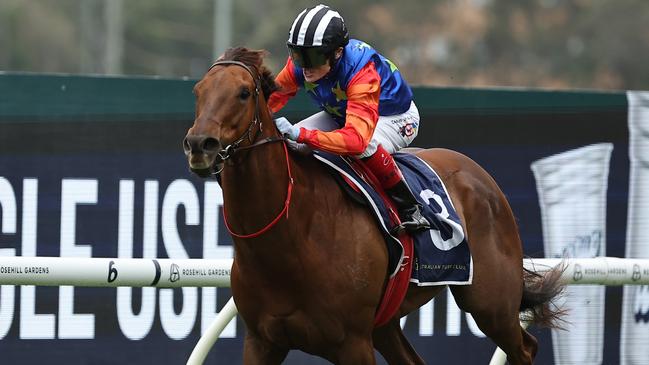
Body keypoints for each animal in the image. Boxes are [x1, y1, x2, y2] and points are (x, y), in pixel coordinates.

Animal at [182, 48, 560, 364]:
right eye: (198, 91)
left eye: (244, 92)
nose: (200, 144)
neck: (291, 237)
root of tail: (479, 175)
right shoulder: (262, 341)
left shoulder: (352, 343)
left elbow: (358, 137)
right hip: (386, 325)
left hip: (489, 303)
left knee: (524, 347)